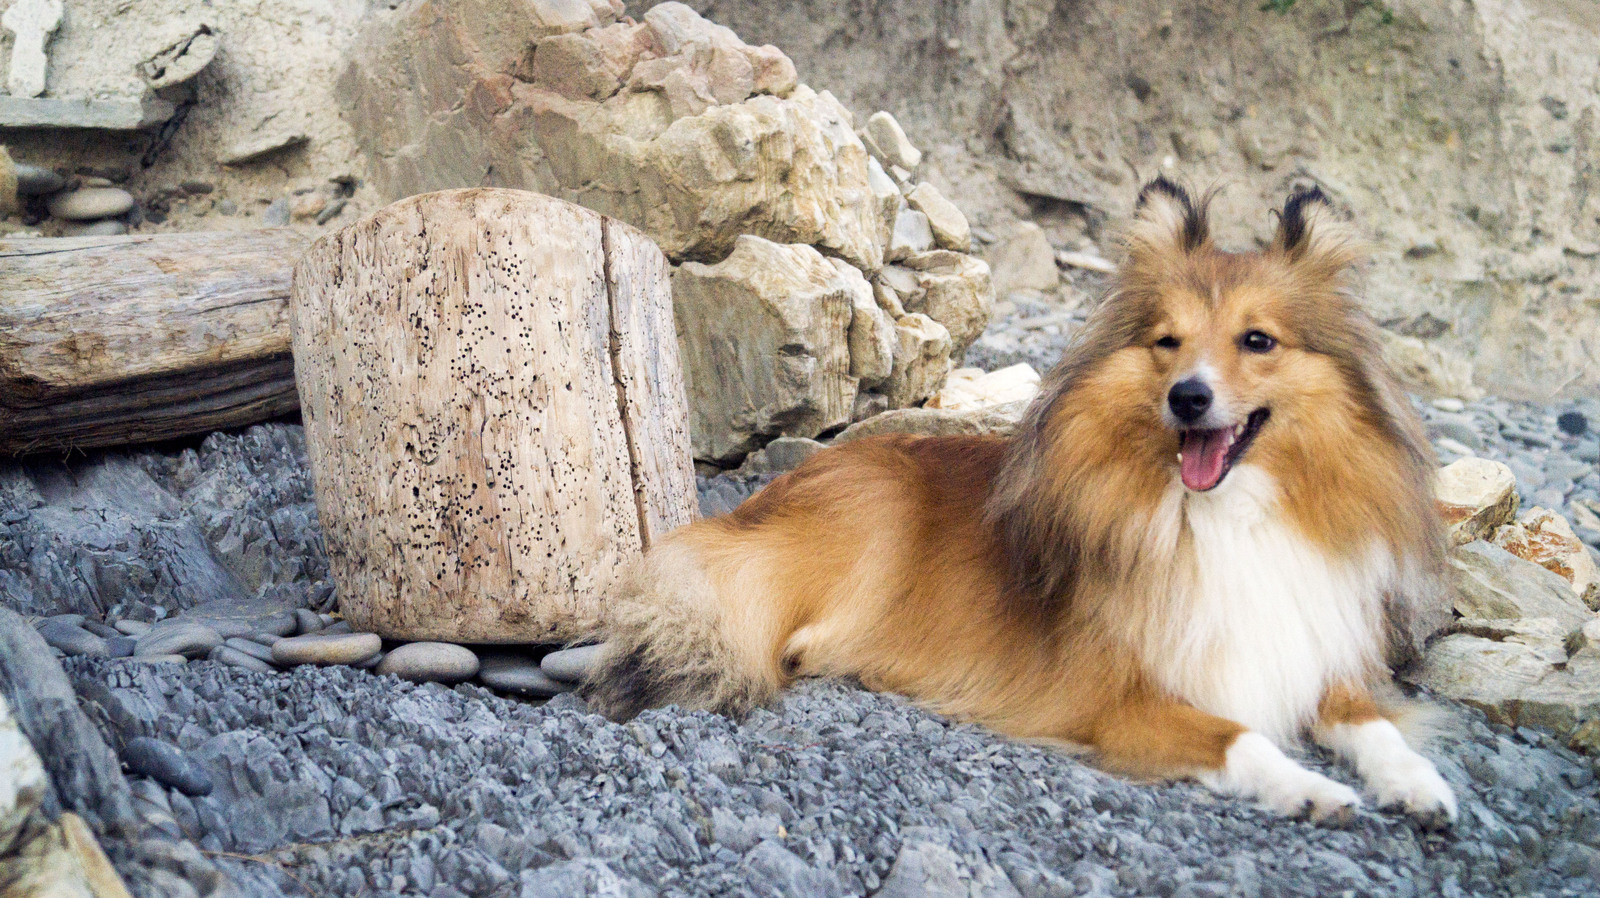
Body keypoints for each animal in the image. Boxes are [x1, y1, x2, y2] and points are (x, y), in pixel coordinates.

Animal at [585, 176, 1465, 825]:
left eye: (1258, 340)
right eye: (1167, 341)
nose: (1187, 398)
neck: (1228, 515)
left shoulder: (1310, 651)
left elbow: (1369, 719)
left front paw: (1417, 782)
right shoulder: (1117, 696)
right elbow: (1238, 737)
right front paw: (1311, 788)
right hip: (856, 531)